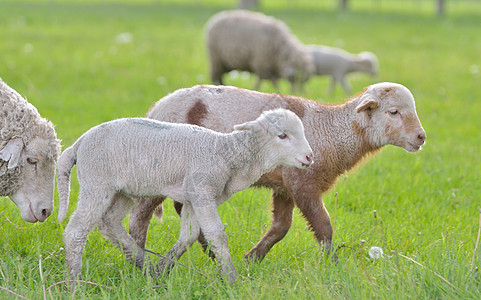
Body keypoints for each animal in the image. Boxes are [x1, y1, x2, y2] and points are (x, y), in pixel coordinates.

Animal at [57, 109, 312, 284]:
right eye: (282, 136)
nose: (310, 157)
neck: (227, 154)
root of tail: (80, 142)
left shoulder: (192, 196)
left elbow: (189, 236)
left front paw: (163, 269)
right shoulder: (202, 190)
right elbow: (216, 234)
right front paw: (232, 279)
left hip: (123, 190)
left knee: (109, 222)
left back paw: (144, 265)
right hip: (97, 183)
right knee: (76, 230)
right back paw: (74, 282)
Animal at [127, 82, 424, 262]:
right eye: (394, 112)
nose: (421, 137)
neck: (334, 132)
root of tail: (156, 107)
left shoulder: (286, 186)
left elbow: (281, 227)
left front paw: (252, 258)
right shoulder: (303, 183)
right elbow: (324, 226)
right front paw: (333, 265)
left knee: (182, 208)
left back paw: (208, 251)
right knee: (139, 216)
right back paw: (138, 257)